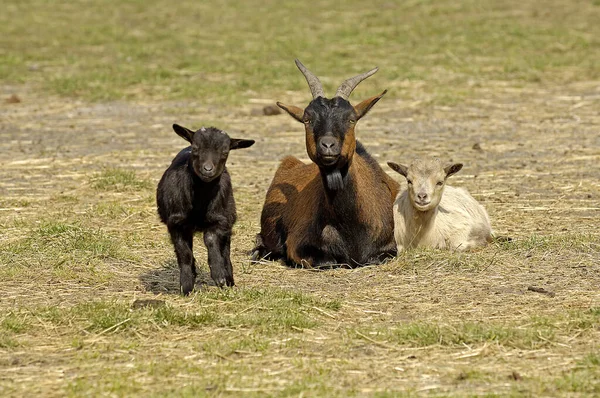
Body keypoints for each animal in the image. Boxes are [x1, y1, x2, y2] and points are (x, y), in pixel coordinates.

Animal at [251, 59, 400, 268]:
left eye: (351, 119)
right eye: (307, 119)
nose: (328, 145)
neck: (350, 226)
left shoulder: (388, 249)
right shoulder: (298, 246)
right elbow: (327, 261)